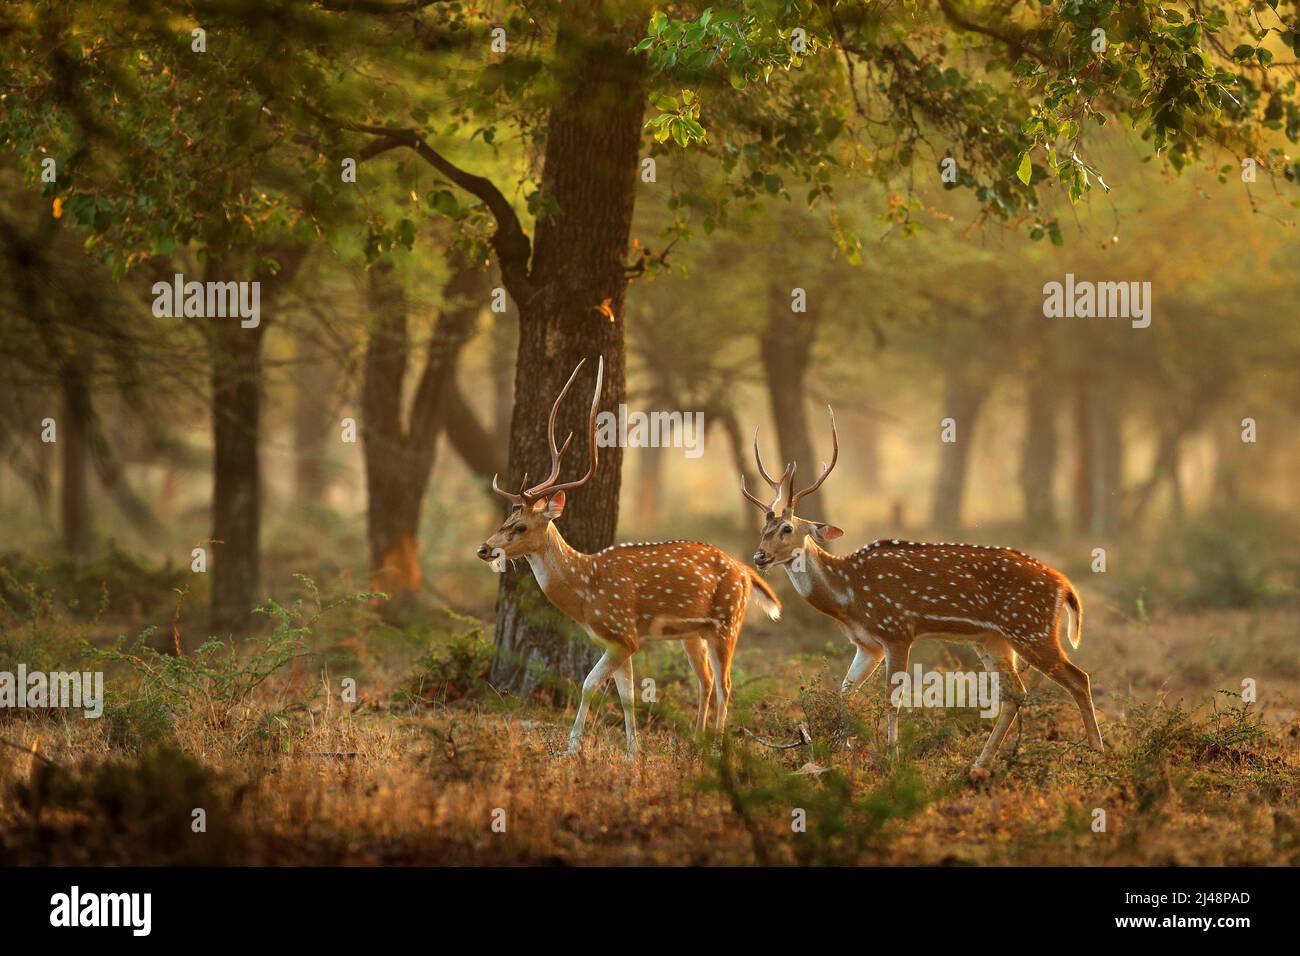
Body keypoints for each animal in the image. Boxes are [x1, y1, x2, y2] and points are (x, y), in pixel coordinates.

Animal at [476, 356, 781, 757]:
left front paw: (572, 748)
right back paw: (697, 740)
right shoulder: (618, 641)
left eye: (522, 526)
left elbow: (589, 684)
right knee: (706, 682)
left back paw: (716, 746)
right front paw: (633, 751)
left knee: (725, 684)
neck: (585, 591)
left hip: (728, 622)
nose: (484, 548)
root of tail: (746, 570)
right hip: (694, 633)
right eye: (506, 519)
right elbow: (627, 696)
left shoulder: (623, 634)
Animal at [741, 408, 1103, 775]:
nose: (759, 556)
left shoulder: (897, 631)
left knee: (1079, 678)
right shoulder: (867, 644)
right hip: (993, 639)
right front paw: (841, 750)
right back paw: (979, 764)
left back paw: (1097, 754)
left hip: (1031, 628)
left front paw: (891, 757)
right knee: (1015, 693)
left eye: (787, 528)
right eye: (764, 528)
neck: (849, 596)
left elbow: (891, 698)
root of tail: (1066, 586)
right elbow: (845, 691)